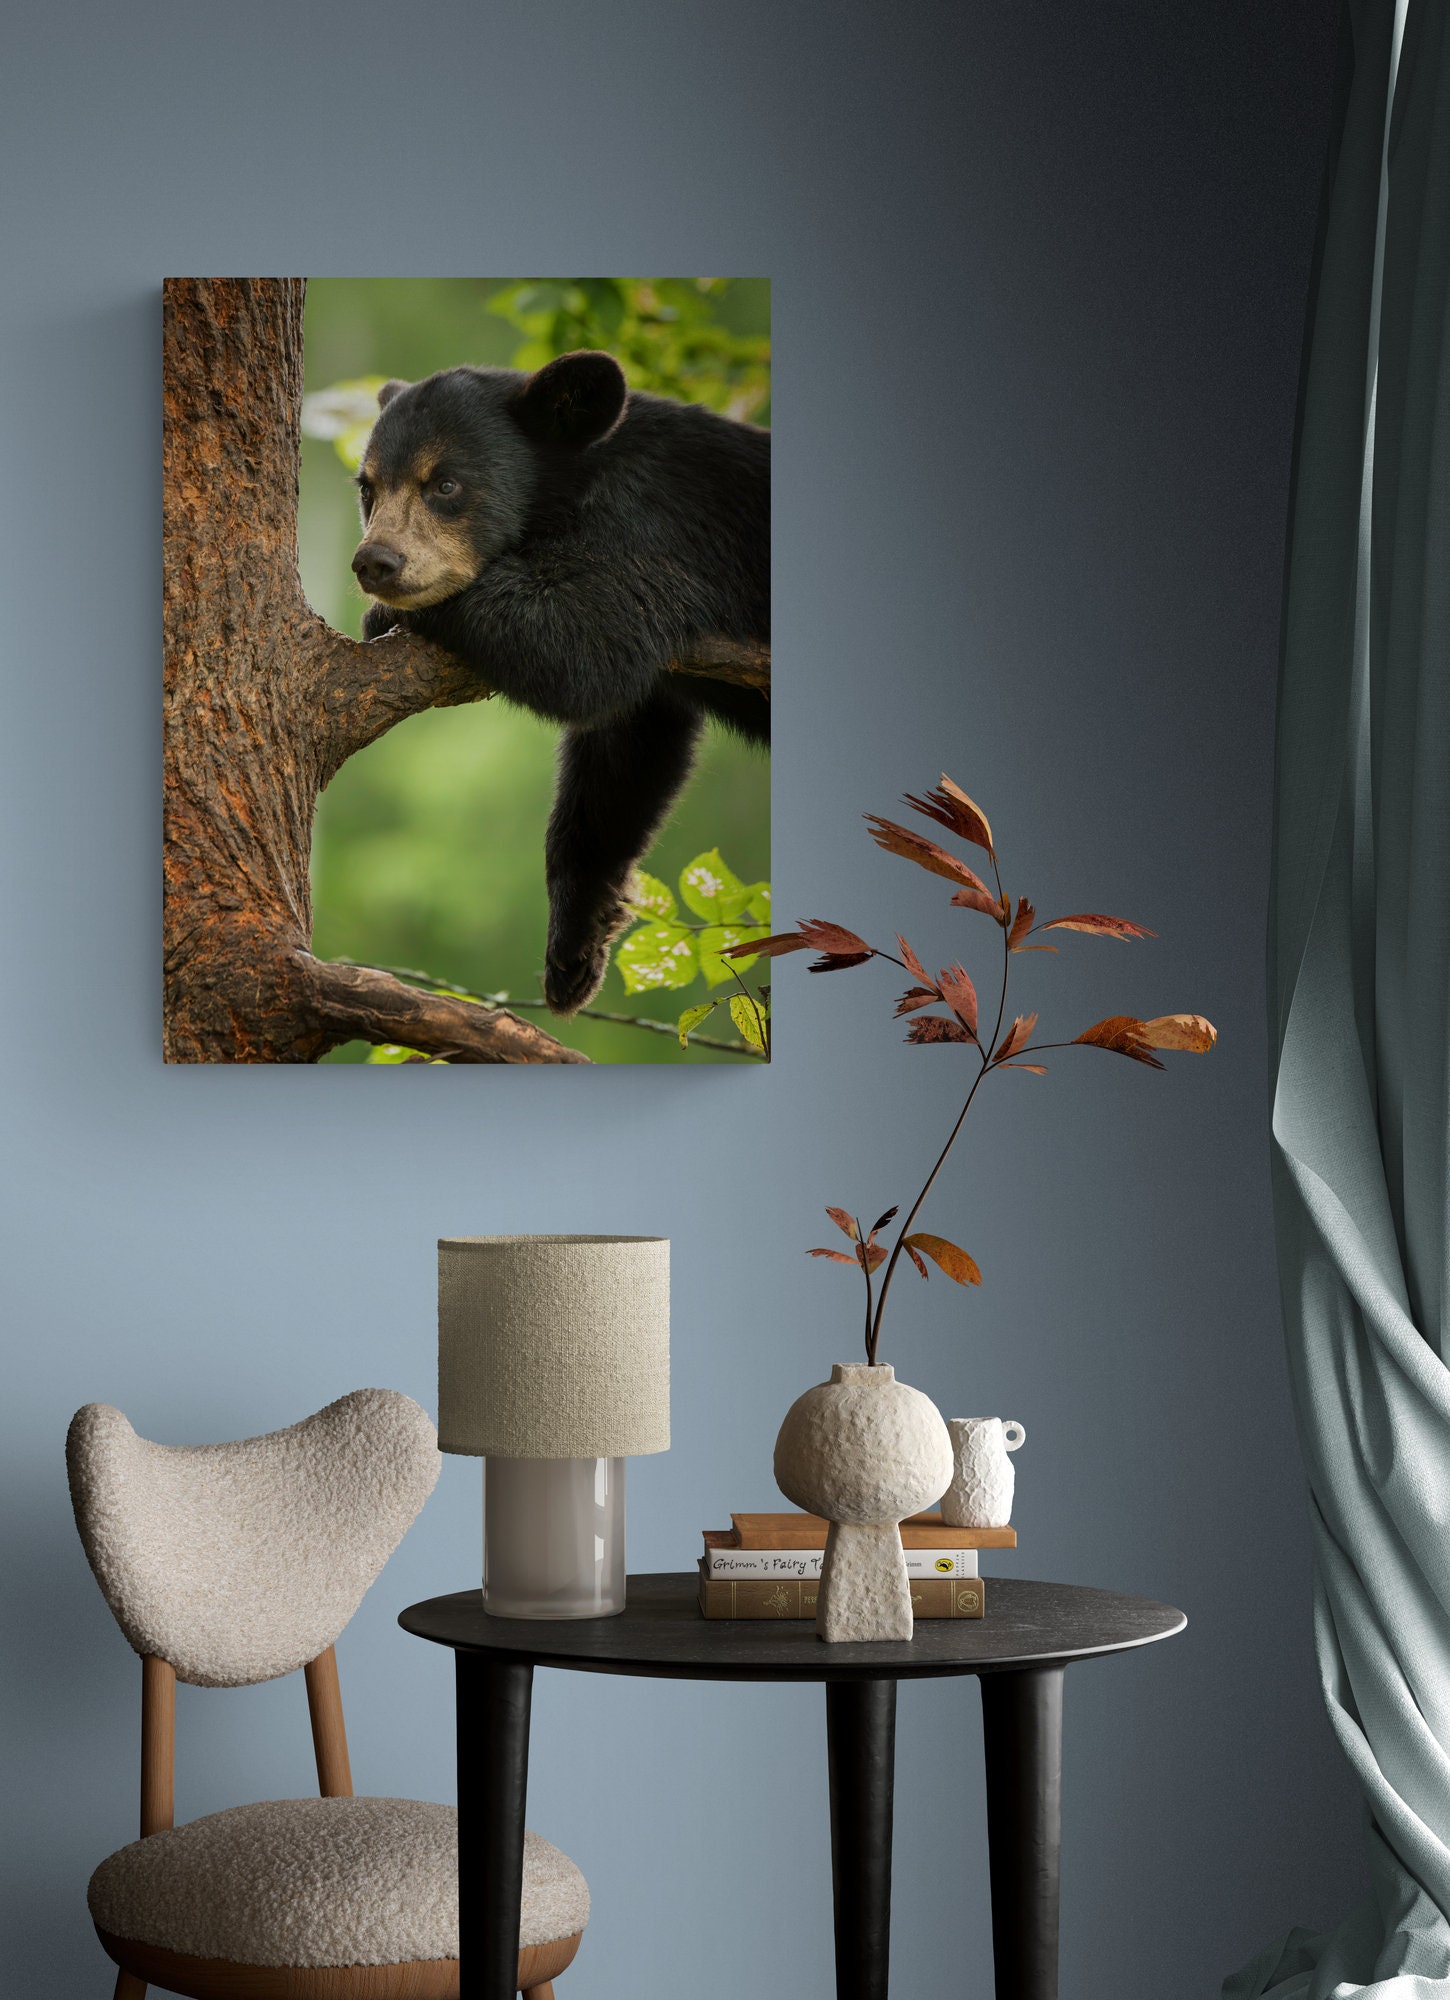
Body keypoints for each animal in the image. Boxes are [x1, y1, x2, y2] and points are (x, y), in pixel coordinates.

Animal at [351, 349, 769, 1016]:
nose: (376, 563)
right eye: (367, 488)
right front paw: (574, 952)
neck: (574, 487)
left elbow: (586, 644)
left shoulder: (658, 533)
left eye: (445, 484)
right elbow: (622, 755)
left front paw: (387, 616)